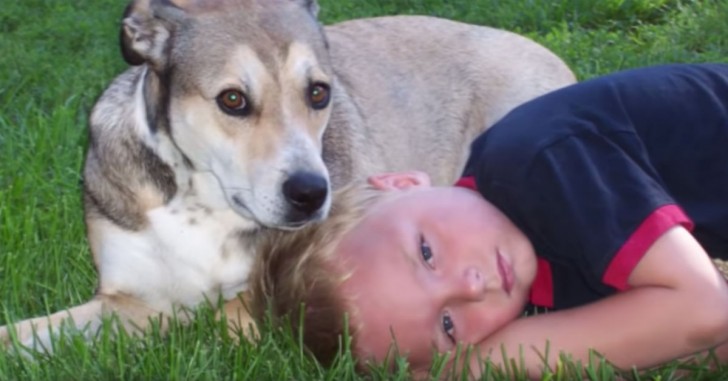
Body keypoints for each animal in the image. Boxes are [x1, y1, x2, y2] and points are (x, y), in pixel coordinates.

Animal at [0, 0, 576, 350]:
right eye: (233, 99)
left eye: (319, 92)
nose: (311, 194)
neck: (201, 202)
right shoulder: (123, 298)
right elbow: (25, 336)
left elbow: (220, 318)